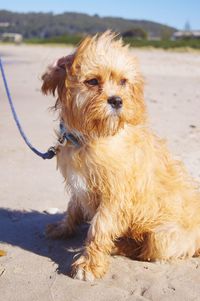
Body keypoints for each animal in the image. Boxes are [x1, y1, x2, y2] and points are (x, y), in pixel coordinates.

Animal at [41, 31, 200, 280]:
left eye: (123, 81)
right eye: (92, 81)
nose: (117, 100)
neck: (93, 138)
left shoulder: (116, 197)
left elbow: (99, 229)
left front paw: (90, 264)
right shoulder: (80, 186)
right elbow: (72, 209)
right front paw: (62, 228)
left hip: (162, 237)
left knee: (144, 249)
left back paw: (118, 245)